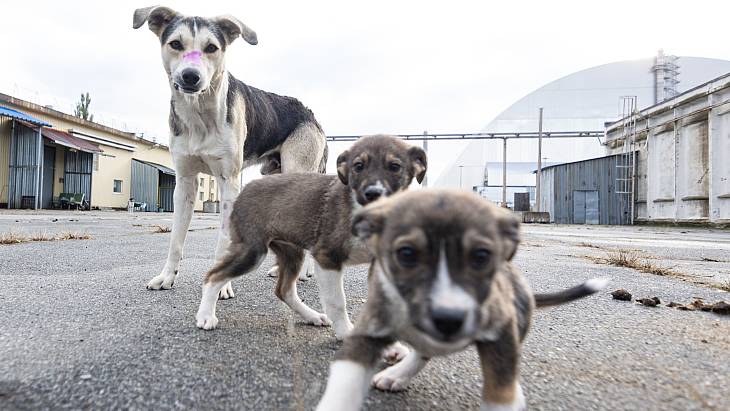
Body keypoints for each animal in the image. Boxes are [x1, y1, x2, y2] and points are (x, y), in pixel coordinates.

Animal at [132, 5, 326, 300]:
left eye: (212, 47)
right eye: (175, 44)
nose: (191, 76)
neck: (199, 114)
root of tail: (310, 114)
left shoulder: (228, 183)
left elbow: (224, 241)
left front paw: (221, 286)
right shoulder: (184, 184)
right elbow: (176, 238)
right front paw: (167, 277)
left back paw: (303, 273)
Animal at [196, 136, 426, 348]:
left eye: (395, 167)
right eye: (358, 166)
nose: (372, 194)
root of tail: (247, 187)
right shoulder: (327, 257)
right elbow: (337, 302)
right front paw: (346, 332)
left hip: (292, 251)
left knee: (284, 290)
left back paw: (312, 316)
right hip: (252, 250)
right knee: (213, 276)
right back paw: (206, 315)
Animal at [316, 190, 604, 411]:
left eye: (481, 256)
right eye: (406, 254)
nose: (448, 319)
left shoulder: (501, 332)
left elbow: (500, 390)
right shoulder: (369, 329)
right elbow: (345, 384)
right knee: (423, 351)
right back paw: (398, 374)